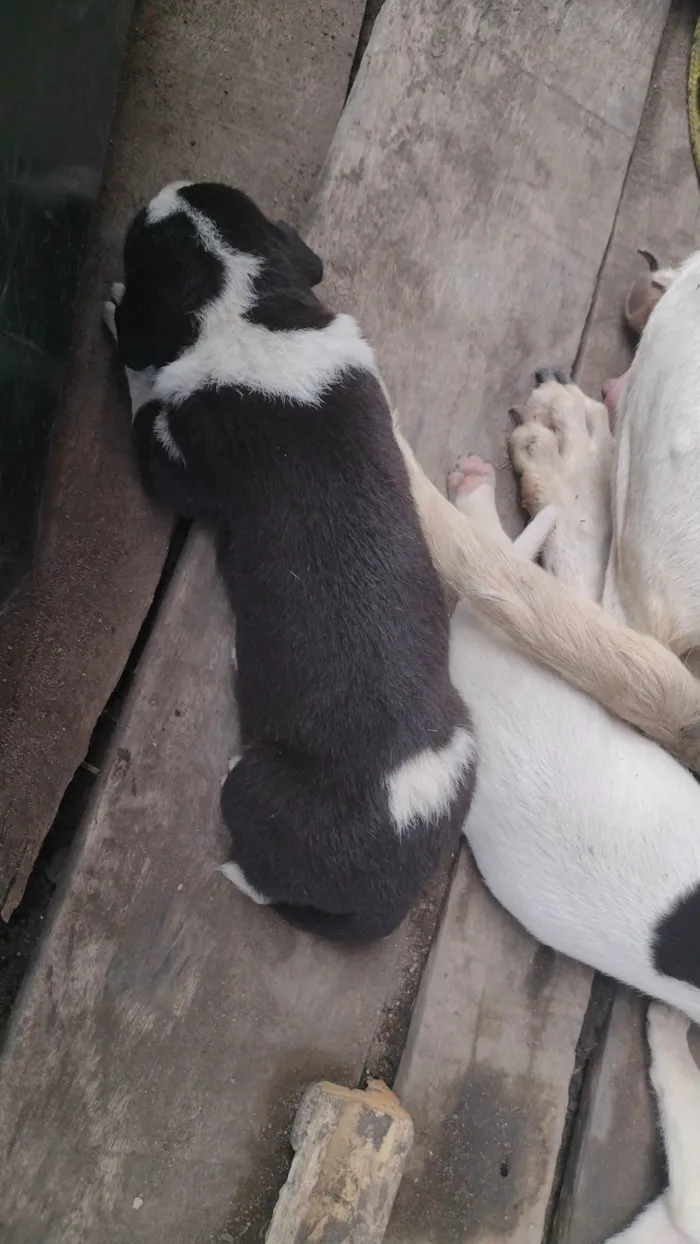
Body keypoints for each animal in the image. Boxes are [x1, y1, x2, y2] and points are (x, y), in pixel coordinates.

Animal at [103, 180, 477, 940]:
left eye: (142, 242)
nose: (164, 190)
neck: (244, 298)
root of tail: (389, 896)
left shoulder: (174, 465)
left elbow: (143, 390)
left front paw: (117, 313)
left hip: (252, 788)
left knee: (264, 875)